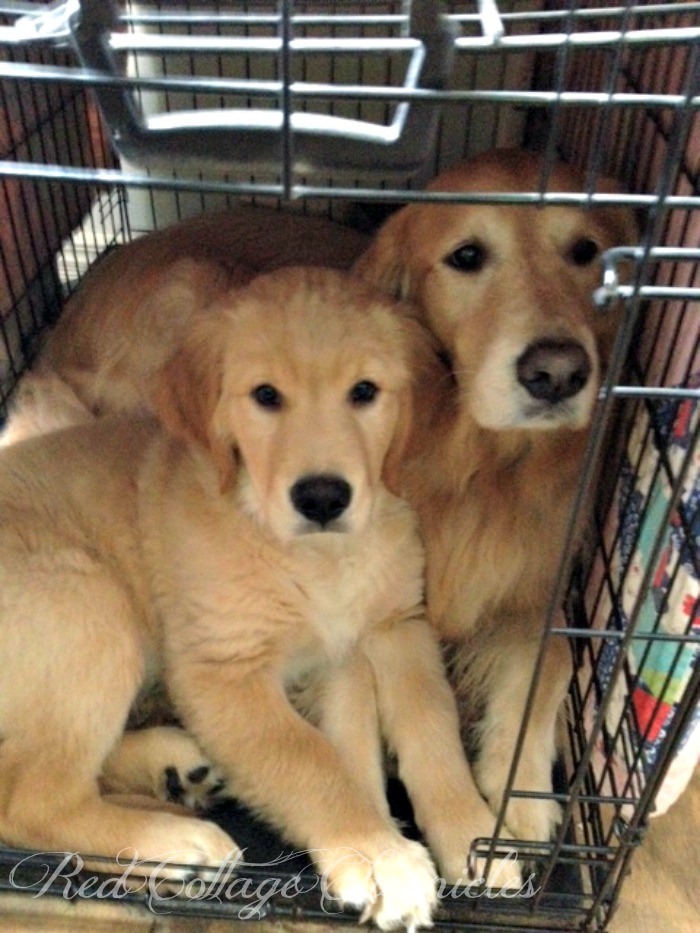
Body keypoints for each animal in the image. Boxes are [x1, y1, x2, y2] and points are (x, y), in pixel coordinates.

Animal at [0, 266, 516, 928]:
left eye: (365, 391)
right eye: (266, 396)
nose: (322, 497)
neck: (314, 558)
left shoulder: (394, 626)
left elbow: (431, 732)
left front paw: (472, 835)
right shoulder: (223, 669)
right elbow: (310, 758)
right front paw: (380, 855)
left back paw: (174, 771)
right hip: (89, 603)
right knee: (29, 798)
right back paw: (176, 845)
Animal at [356, 147, 640, 844]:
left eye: (587, 251)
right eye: (466, 256)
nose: (558, 373)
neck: (483, 467)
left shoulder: (537, 591)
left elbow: (557, 657)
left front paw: (525, 790)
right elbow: (423, 707)